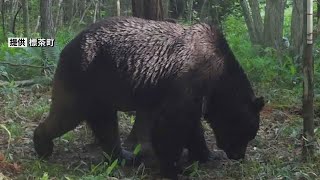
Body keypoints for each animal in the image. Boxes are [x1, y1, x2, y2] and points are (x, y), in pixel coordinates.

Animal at [33, 16, 264, 179]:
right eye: (247, 133)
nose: (238, 156)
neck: (217, 79)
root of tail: (67, 45)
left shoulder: (194, 96)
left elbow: (192, 126)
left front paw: (206, 155)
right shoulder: (188, 81)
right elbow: (171, 126)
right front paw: (174, 169)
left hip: (102, 90)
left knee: (105, 124)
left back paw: (125, 156)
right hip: (85, 75)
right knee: (67, 114)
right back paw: (42, 146)